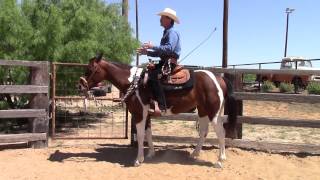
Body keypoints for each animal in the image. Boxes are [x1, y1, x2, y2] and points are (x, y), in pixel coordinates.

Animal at [78, 54, 238, 167]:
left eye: (90, 70)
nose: (79, 86)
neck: (134, 83)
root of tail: (219, 78)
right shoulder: (147, 114)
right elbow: (148, 133)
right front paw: (150, 154)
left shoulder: (139, 114)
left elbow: (141, 135)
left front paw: (139, 160)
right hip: (203, 111)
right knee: (204, 131)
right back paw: (195, 154)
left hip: (213, 113)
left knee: (220, 133)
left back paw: (220, 160)